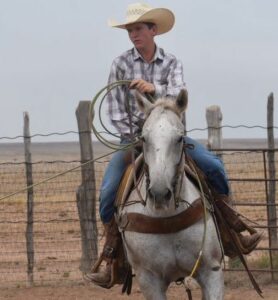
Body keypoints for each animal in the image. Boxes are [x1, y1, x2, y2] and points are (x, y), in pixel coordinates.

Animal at [116, 89, 224, 300]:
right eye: (143, 138)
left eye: (180, 138)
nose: (159, 194)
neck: (167, 219)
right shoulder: (149, 280)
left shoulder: (211, 271)